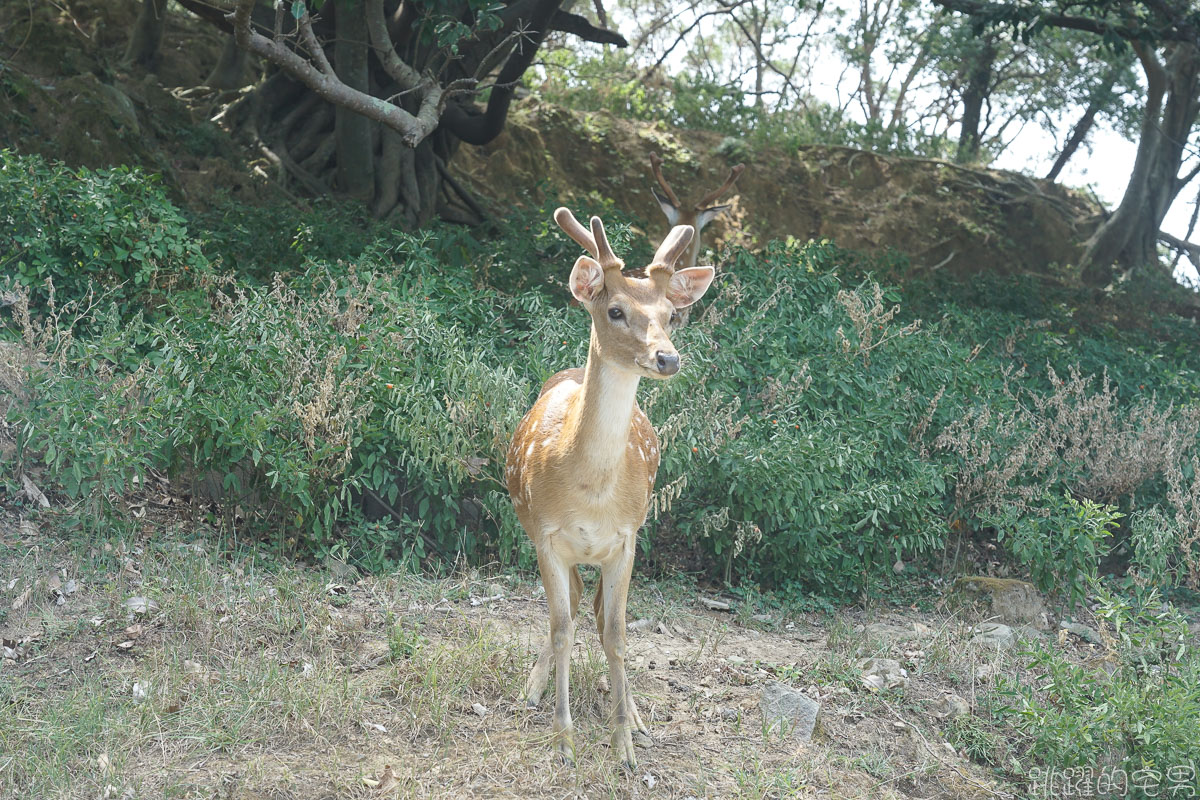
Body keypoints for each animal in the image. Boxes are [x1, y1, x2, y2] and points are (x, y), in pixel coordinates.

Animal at [504, 203, 710, 767]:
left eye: (669, 315)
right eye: (615, 311)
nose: (668, 358)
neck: (592, 493)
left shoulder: (626, 539)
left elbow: (615, 633)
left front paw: (624, 742)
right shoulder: (546, 536)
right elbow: (561, 628)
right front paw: (564, 740)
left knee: (595, 614)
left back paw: (634, 714)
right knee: (572, 610)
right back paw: (532, 688)